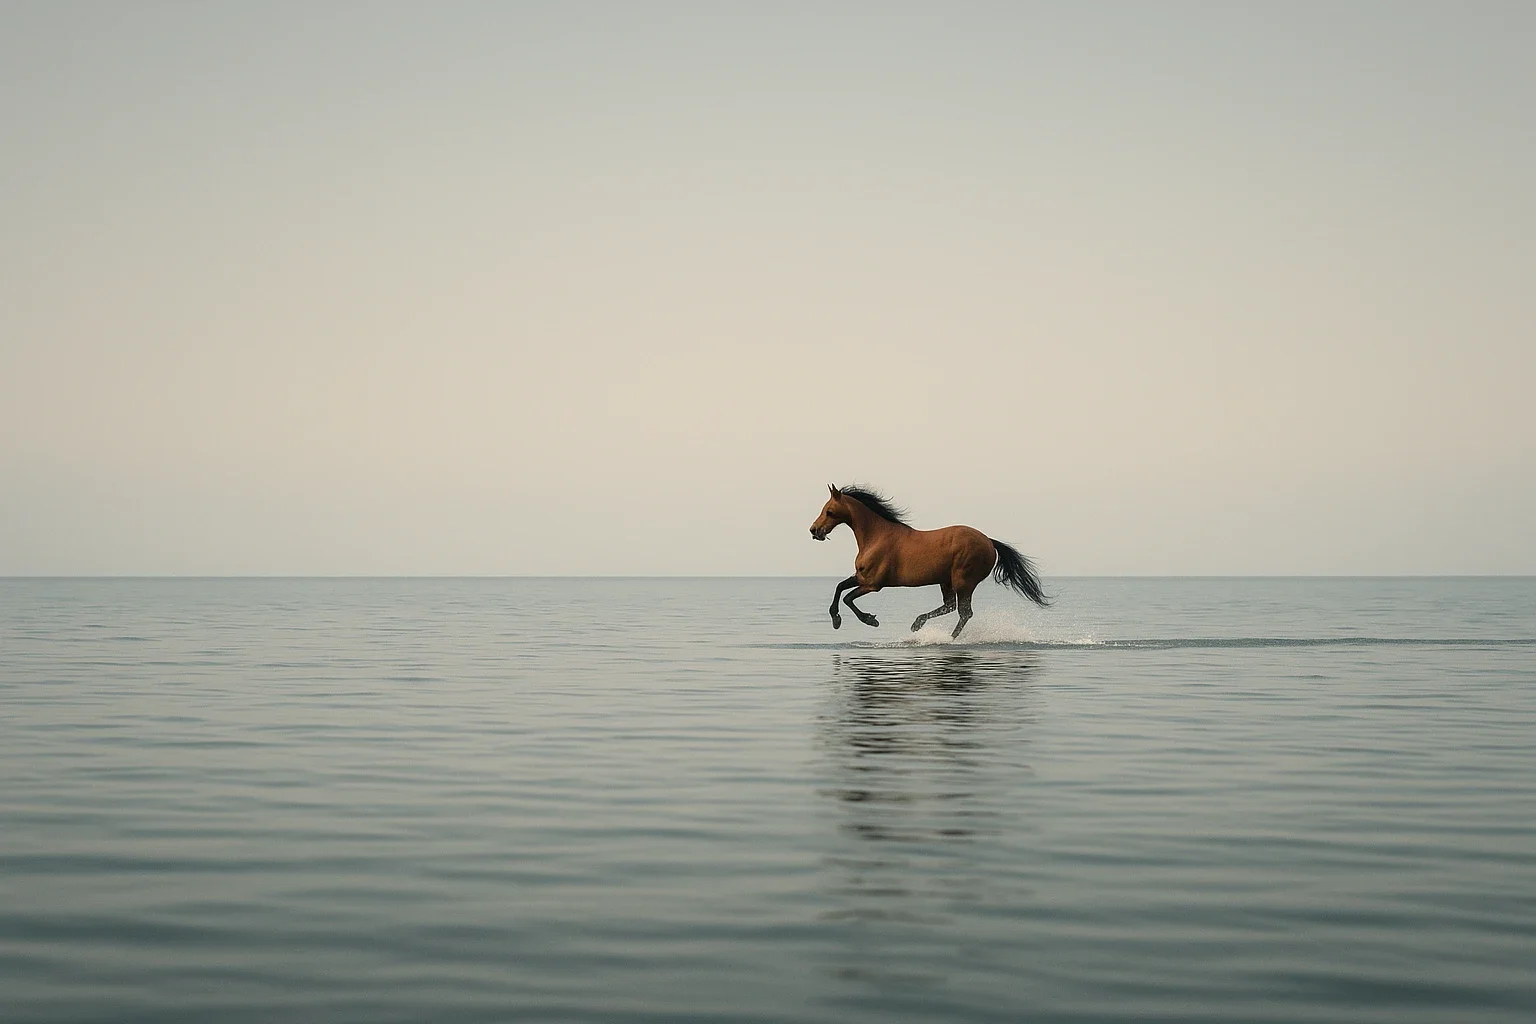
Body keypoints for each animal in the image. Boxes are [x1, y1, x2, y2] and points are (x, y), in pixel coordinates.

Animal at [809, 485, 1049, 638]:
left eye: (829, 511)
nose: (814, 530)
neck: (876, 536)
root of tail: (989, 541)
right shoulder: (861, 576)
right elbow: (840, 588)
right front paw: (836, 620)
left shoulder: (873, 584)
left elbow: (848, 598)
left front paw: (870, 620)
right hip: (946, 581)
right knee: (951, 606)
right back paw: (918, 624)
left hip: (963, 581)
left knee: (964, 613)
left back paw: (948, 638)